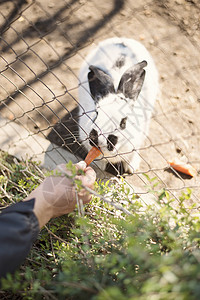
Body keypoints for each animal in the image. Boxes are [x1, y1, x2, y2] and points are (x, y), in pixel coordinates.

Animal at [77, 37, 158, 175]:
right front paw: (99, 166)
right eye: (96, 114)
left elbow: (133, 154)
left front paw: (132, 168)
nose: (99, 140)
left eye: (123, 122)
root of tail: (123, 40)